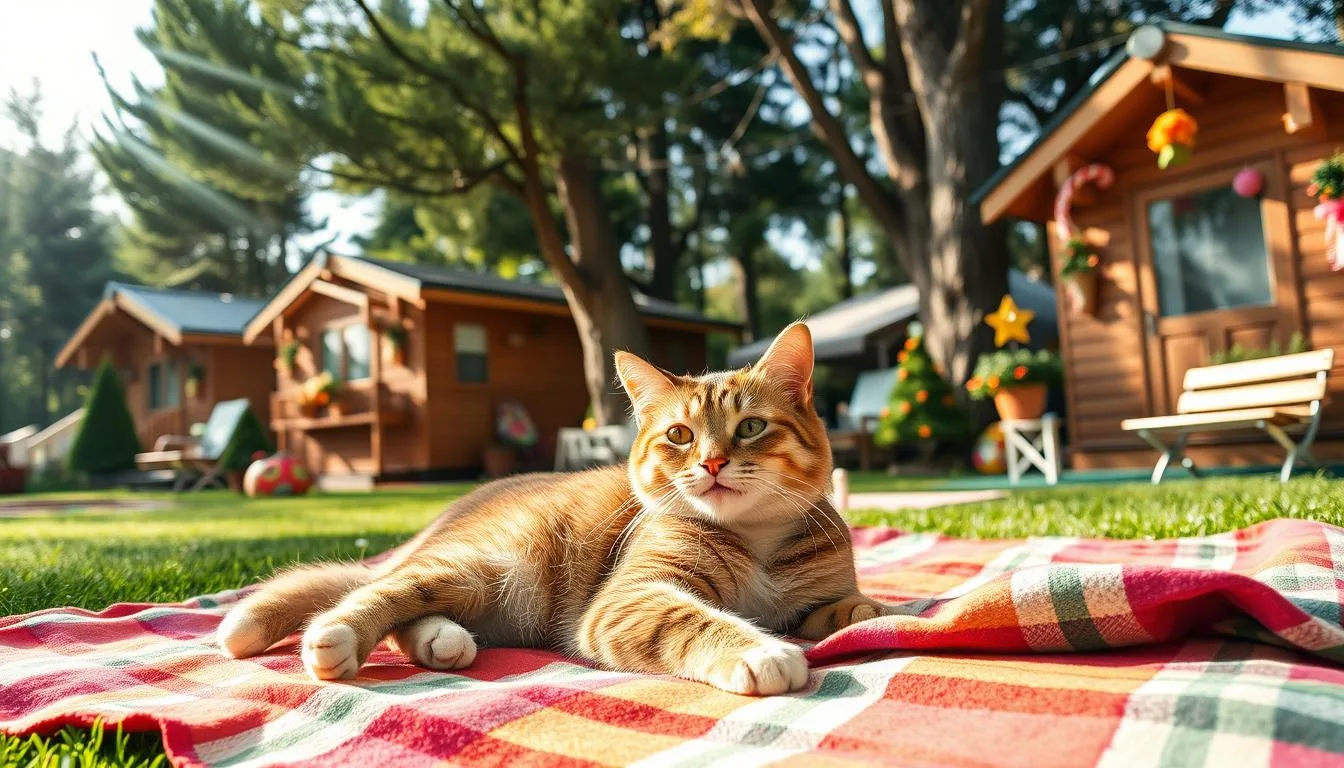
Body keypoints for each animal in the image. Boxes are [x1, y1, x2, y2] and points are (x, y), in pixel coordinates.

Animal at [217, 324, 892, 699]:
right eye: (679, 436)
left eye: (751, 427)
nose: (713, 463)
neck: (755, 537)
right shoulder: (631, 599)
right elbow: (695, 620)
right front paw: (760, 651)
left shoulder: (814, 594)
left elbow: (845, 608)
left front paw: (866, 612)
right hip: (483, 564)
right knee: (377, 591)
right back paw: (332, 634)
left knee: (412, 613)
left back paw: (440, 641)